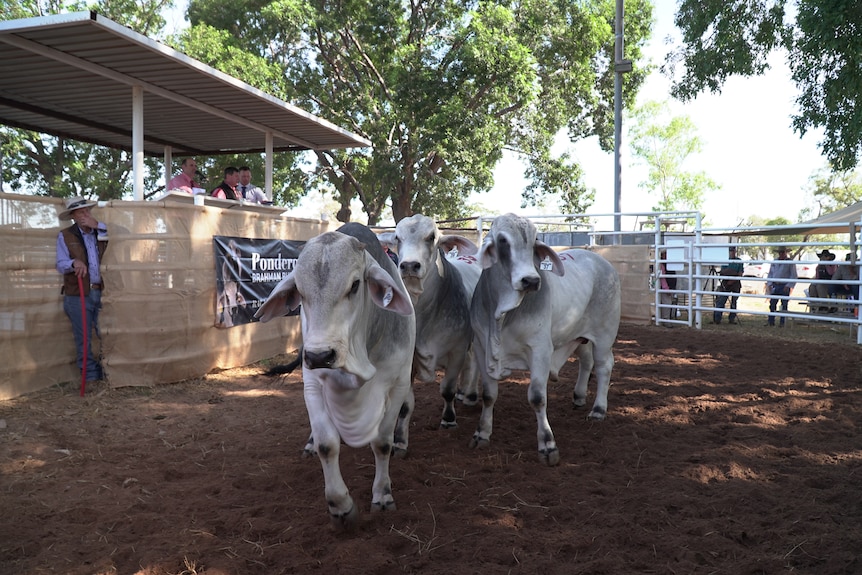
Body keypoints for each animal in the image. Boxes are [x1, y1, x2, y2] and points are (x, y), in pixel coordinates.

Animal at [254, 222, 416, 528]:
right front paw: (341, 506)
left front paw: (383, 495)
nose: (319, 356)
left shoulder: (397, 383)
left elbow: (382, 442)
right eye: (299, 291)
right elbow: (327, 444)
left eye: (355, 285)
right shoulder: (313, 384)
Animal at [379, 214, 481, 429]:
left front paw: (449, 418)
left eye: (431, 237)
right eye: (397, 238)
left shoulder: (457, 351)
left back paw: (470, 395)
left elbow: (447, 390)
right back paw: (463, 392)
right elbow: (405, 404)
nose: (409, 265)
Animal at [469, 213, 621, 466]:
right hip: (579, 334)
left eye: (534, 241)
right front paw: (482, 433)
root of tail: (602, 261)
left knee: (603, 366)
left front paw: (548, 444)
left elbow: (538, 397)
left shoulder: (540, 350)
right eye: (502, 240)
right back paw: (579, 396)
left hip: (604, 335)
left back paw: (599, 409)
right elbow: (489, 395)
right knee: (586, 362)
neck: (502, 314)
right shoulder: (483, 349)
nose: (530, 280)